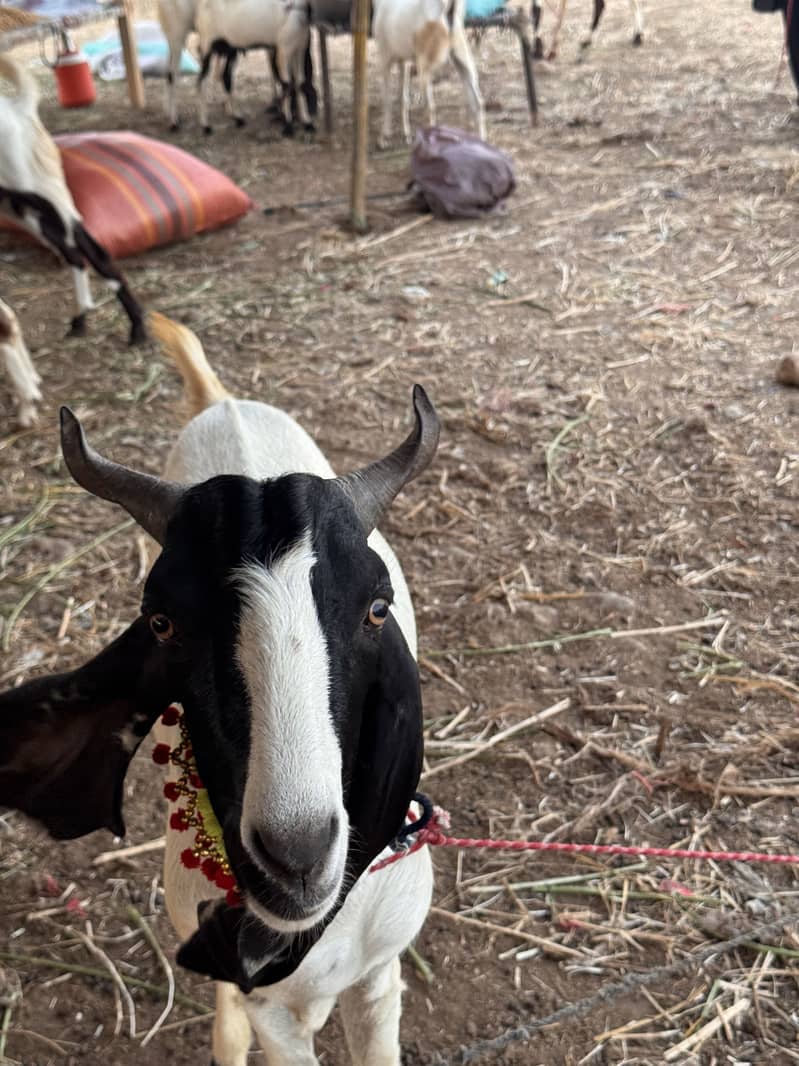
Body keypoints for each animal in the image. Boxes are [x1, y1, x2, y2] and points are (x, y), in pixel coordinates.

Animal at [0, 56, 146, 345]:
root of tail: (18, 107)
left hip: (41, 194)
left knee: (90, 251)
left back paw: (135, 328)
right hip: (22, 208)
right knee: (77, 255)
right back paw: (84, 319)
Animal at [0, 311, 438, 1064]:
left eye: (376, 608)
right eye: (163, 622)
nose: (295, 858)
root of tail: (221, 403)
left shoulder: (380, 974)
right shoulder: (267, 1005)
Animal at [195, 0, 317, 135]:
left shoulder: (299, 50)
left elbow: (301, 84)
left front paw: (307, 122)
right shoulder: (283, 50)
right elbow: (287, 85)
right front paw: (288, 126)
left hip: (229, 48)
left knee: (225, 77)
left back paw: (237, 118)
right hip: (208, 45)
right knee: (202, 81)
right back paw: (206, 125)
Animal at [373, 0, 486, 148]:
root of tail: (447, 7)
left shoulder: (385, 58)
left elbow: (387, 100)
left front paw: (384, 138)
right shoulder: (404, 61)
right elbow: (403, 98)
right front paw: (406, 135)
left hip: (424, 67)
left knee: (430, 106)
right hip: (461, 56)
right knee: (477, 101)